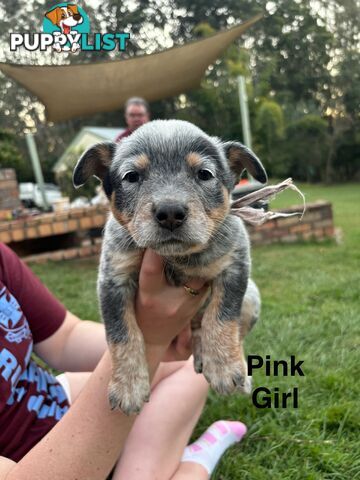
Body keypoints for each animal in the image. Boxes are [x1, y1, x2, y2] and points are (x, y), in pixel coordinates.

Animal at [73, 118, 266, 414]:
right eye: (132, 176)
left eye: (204, 174)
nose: (171, 212)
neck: (175, 258)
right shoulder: (112, 279)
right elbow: (121, 333)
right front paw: (128, 386)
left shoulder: (235, 263)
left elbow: (221, 316)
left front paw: (223, 366)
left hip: (252, 297)